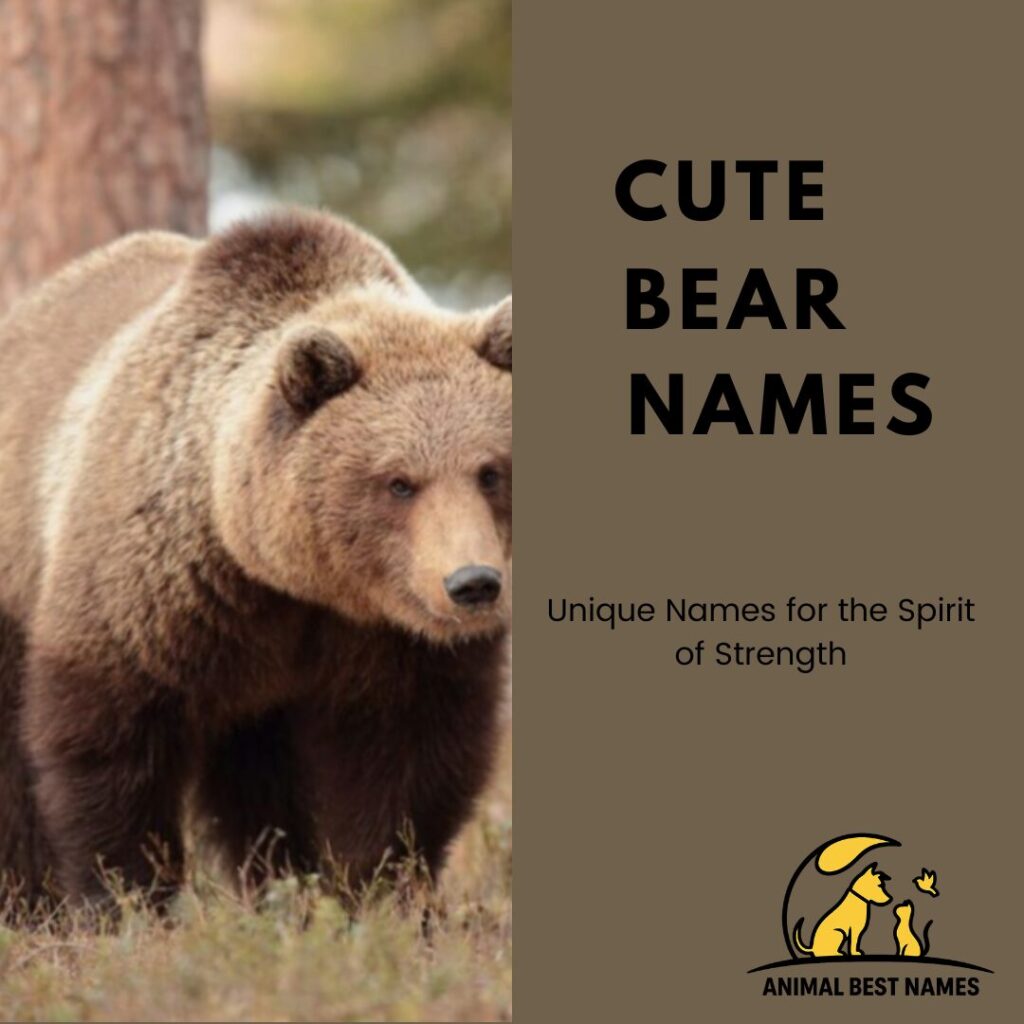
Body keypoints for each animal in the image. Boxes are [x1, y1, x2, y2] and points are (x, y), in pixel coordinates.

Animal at [0, 208, 511, 910]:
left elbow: (407, 758)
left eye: (490, 471)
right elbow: (109, 744)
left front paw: (378, 891)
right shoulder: (154, 594)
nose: (473, 583)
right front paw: (126, 899)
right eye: (399, 482)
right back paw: (29, 896)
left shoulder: (391, 642)